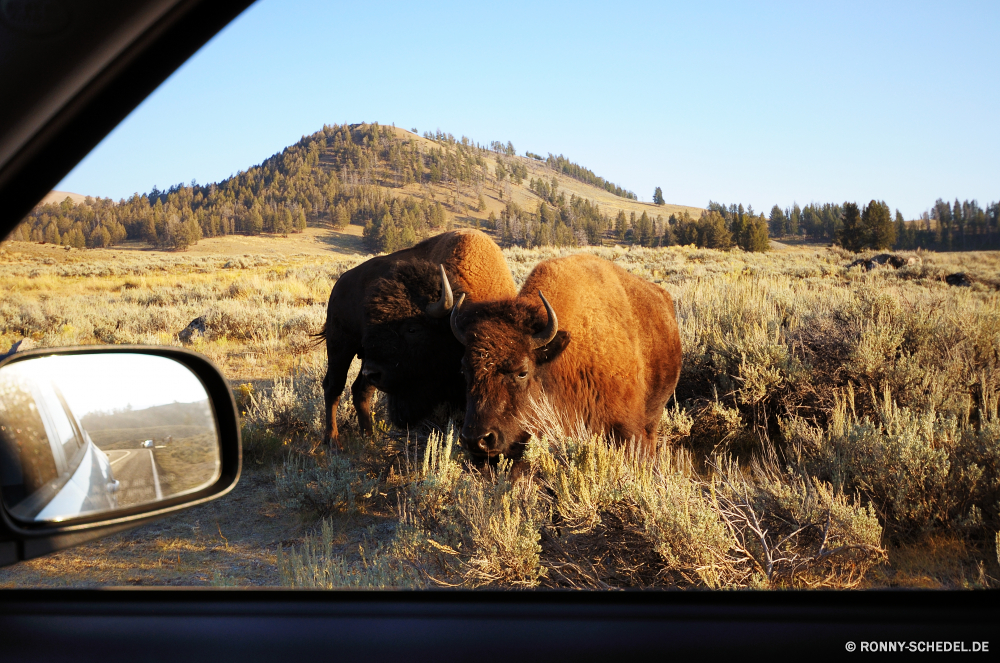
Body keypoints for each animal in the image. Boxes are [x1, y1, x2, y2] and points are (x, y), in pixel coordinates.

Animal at [322, 230, 516, 452]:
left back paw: (368, 438)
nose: (373, 373)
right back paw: (333, 441)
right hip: (340, 346)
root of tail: (340, 283)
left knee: (360, 390)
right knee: (333, 388)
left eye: (412, 329)